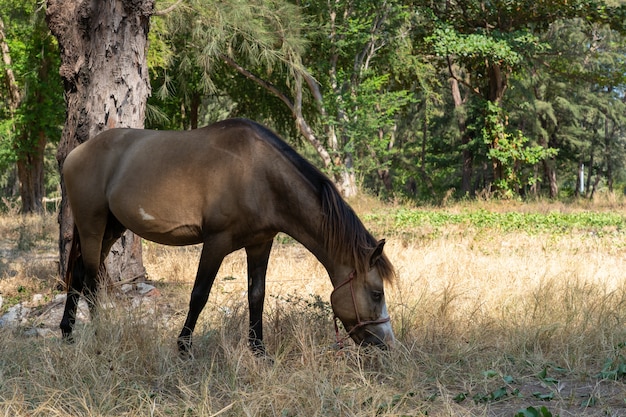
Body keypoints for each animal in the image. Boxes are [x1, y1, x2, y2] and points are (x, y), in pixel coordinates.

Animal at [62, 118, 394, 354]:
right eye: (377, 293)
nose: (387, 345)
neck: (258, 174)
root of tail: (74, 154)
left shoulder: (260, 243)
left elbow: (256, 295)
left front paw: (259, 350)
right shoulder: (216, 242)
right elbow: (199, 294)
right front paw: (184, 347)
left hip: (111, 229)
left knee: (77, 275)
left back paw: (67, 333)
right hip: (93, 225)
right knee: (90, 280)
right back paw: (100, 335)